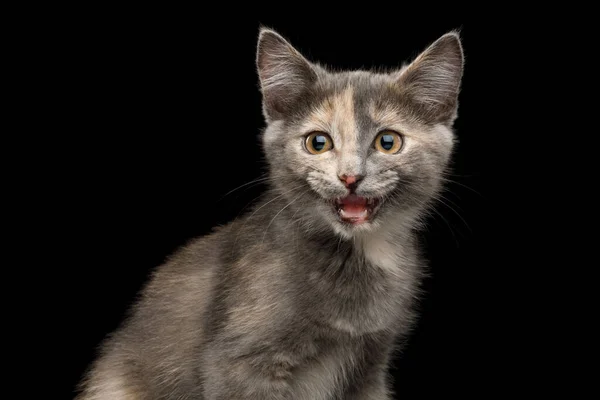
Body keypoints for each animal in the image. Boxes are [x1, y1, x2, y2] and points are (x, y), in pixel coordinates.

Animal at [75, 28, 464, 400]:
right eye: (318, 143)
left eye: (388, 142)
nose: (350, 177)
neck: (358, 253)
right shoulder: (238, 362)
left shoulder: (371, 365)